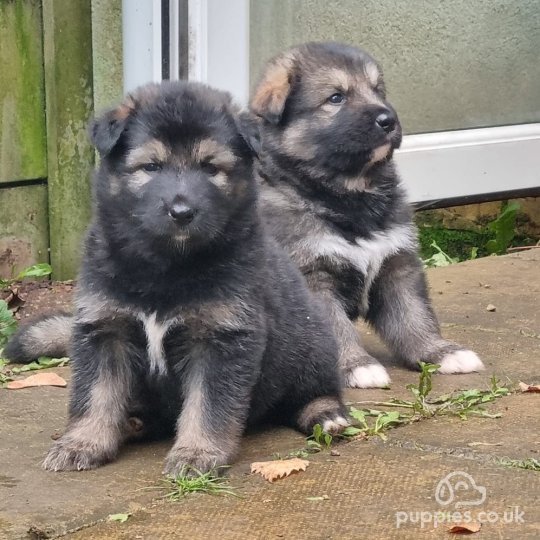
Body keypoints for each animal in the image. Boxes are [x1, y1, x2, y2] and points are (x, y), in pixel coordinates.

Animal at [6, 79, 348, 472]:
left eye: (210, 167)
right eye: (151, 166)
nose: (182, 212)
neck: (165, 266)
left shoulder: (220, 339)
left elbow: (207, 405)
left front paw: (197, 452)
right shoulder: (105, 329)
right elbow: (95, 394)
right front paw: (83, 443)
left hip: (312, 345)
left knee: (316, 391)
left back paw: (326, 416)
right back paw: (132, 423)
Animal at [247, 42, 484, 388]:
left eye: (378, 91)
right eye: (336, 98)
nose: (389, 119)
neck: (349, 194)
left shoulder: (396, 265)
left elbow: (415, 316)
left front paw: (440, 352)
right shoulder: (312, 277)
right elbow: (335, 328)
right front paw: (357, 365)